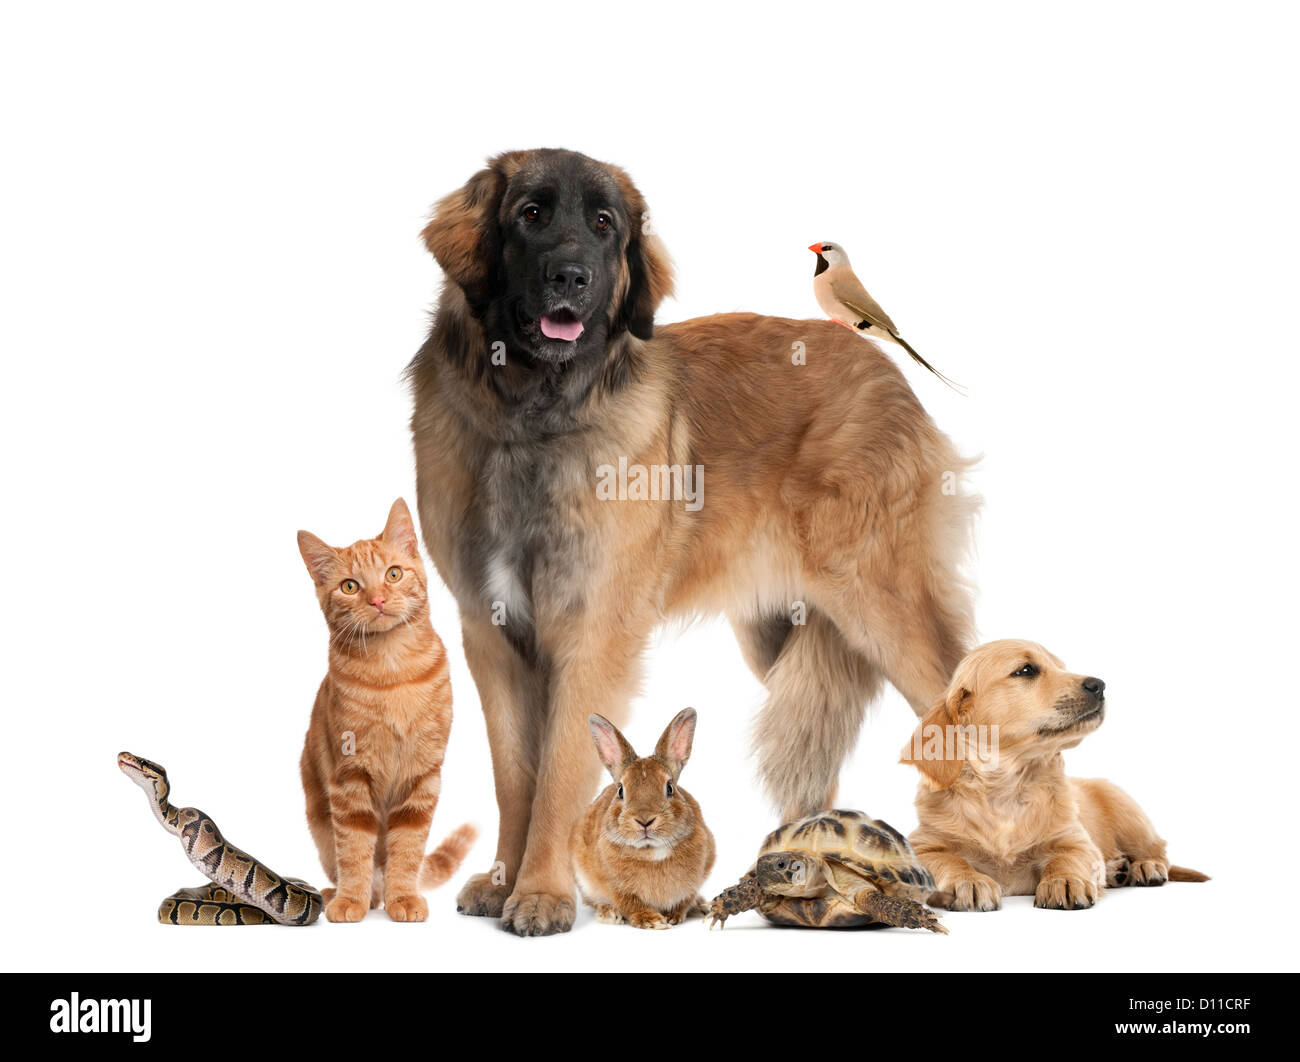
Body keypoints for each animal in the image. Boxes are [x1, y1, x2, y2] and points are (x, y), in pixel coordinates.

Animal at [297, 496, 475, 920]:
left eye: (393, 574)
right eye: (350, 586)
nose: (377, 599)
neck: (392, 670)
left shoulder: (422, 775)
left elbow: (407, 848)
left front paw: (404, 898)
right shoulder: (349, 776)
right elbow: (353, 848)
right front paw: (351, 900)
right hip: (319, 819)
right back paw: (341, 893)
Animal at [572, 712, 717, 925]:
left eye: (670, 788)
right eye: (620, 791)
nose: (645, 821)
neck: (652, 852)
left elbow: (684, 902)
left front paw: (673, 917)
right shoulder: (617, 889)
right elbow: (631, 904)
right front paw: (653, 921)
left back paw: (703, 906)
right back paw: (608, 914)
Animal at [899, 636, 1201, 909]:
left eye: (1060, 667)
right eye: (1026, 670)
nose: (1100, 685)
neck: (1006, 789)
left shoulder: (1075, 841)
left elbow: (1065, 858)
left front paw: (1065, 881)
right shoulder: (920, 846)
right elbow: (948, 859)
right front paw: (969, 880)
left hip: (1129, 815)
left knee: (1158, 849)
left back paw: (1144, 867)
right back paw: (1118, 870)